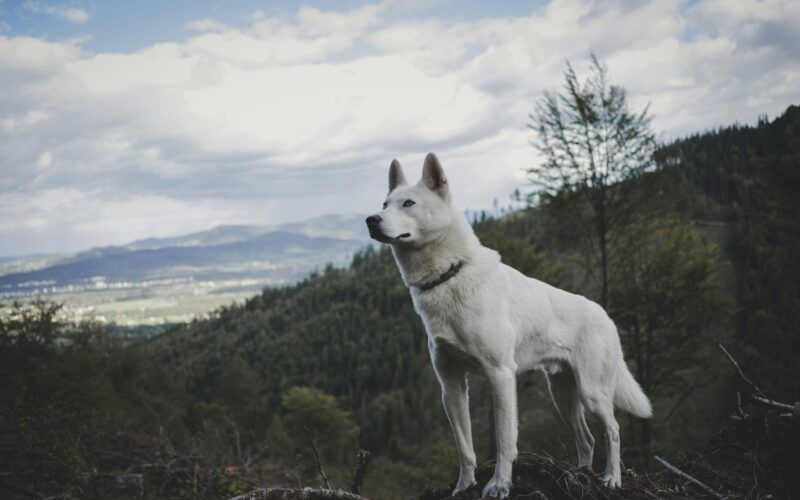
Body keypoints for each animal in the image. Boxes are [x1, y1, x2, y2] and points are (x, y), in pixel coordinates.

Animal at [366, 152, 652, 496]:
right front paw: (464, 486)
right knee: (587, 439)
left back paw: (611, 478)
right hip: (563, 396)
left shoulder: (500, 375)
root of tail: (604, 314)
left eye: (408, 203)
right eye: (384, 204)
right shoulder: (451, 385)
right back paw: (580, 475)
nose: (371, 220)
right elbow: (465, 447)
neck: (449, 275)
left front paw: (500, 485)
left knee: (613, 429)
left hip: (593, 393)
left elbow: (504, 439)